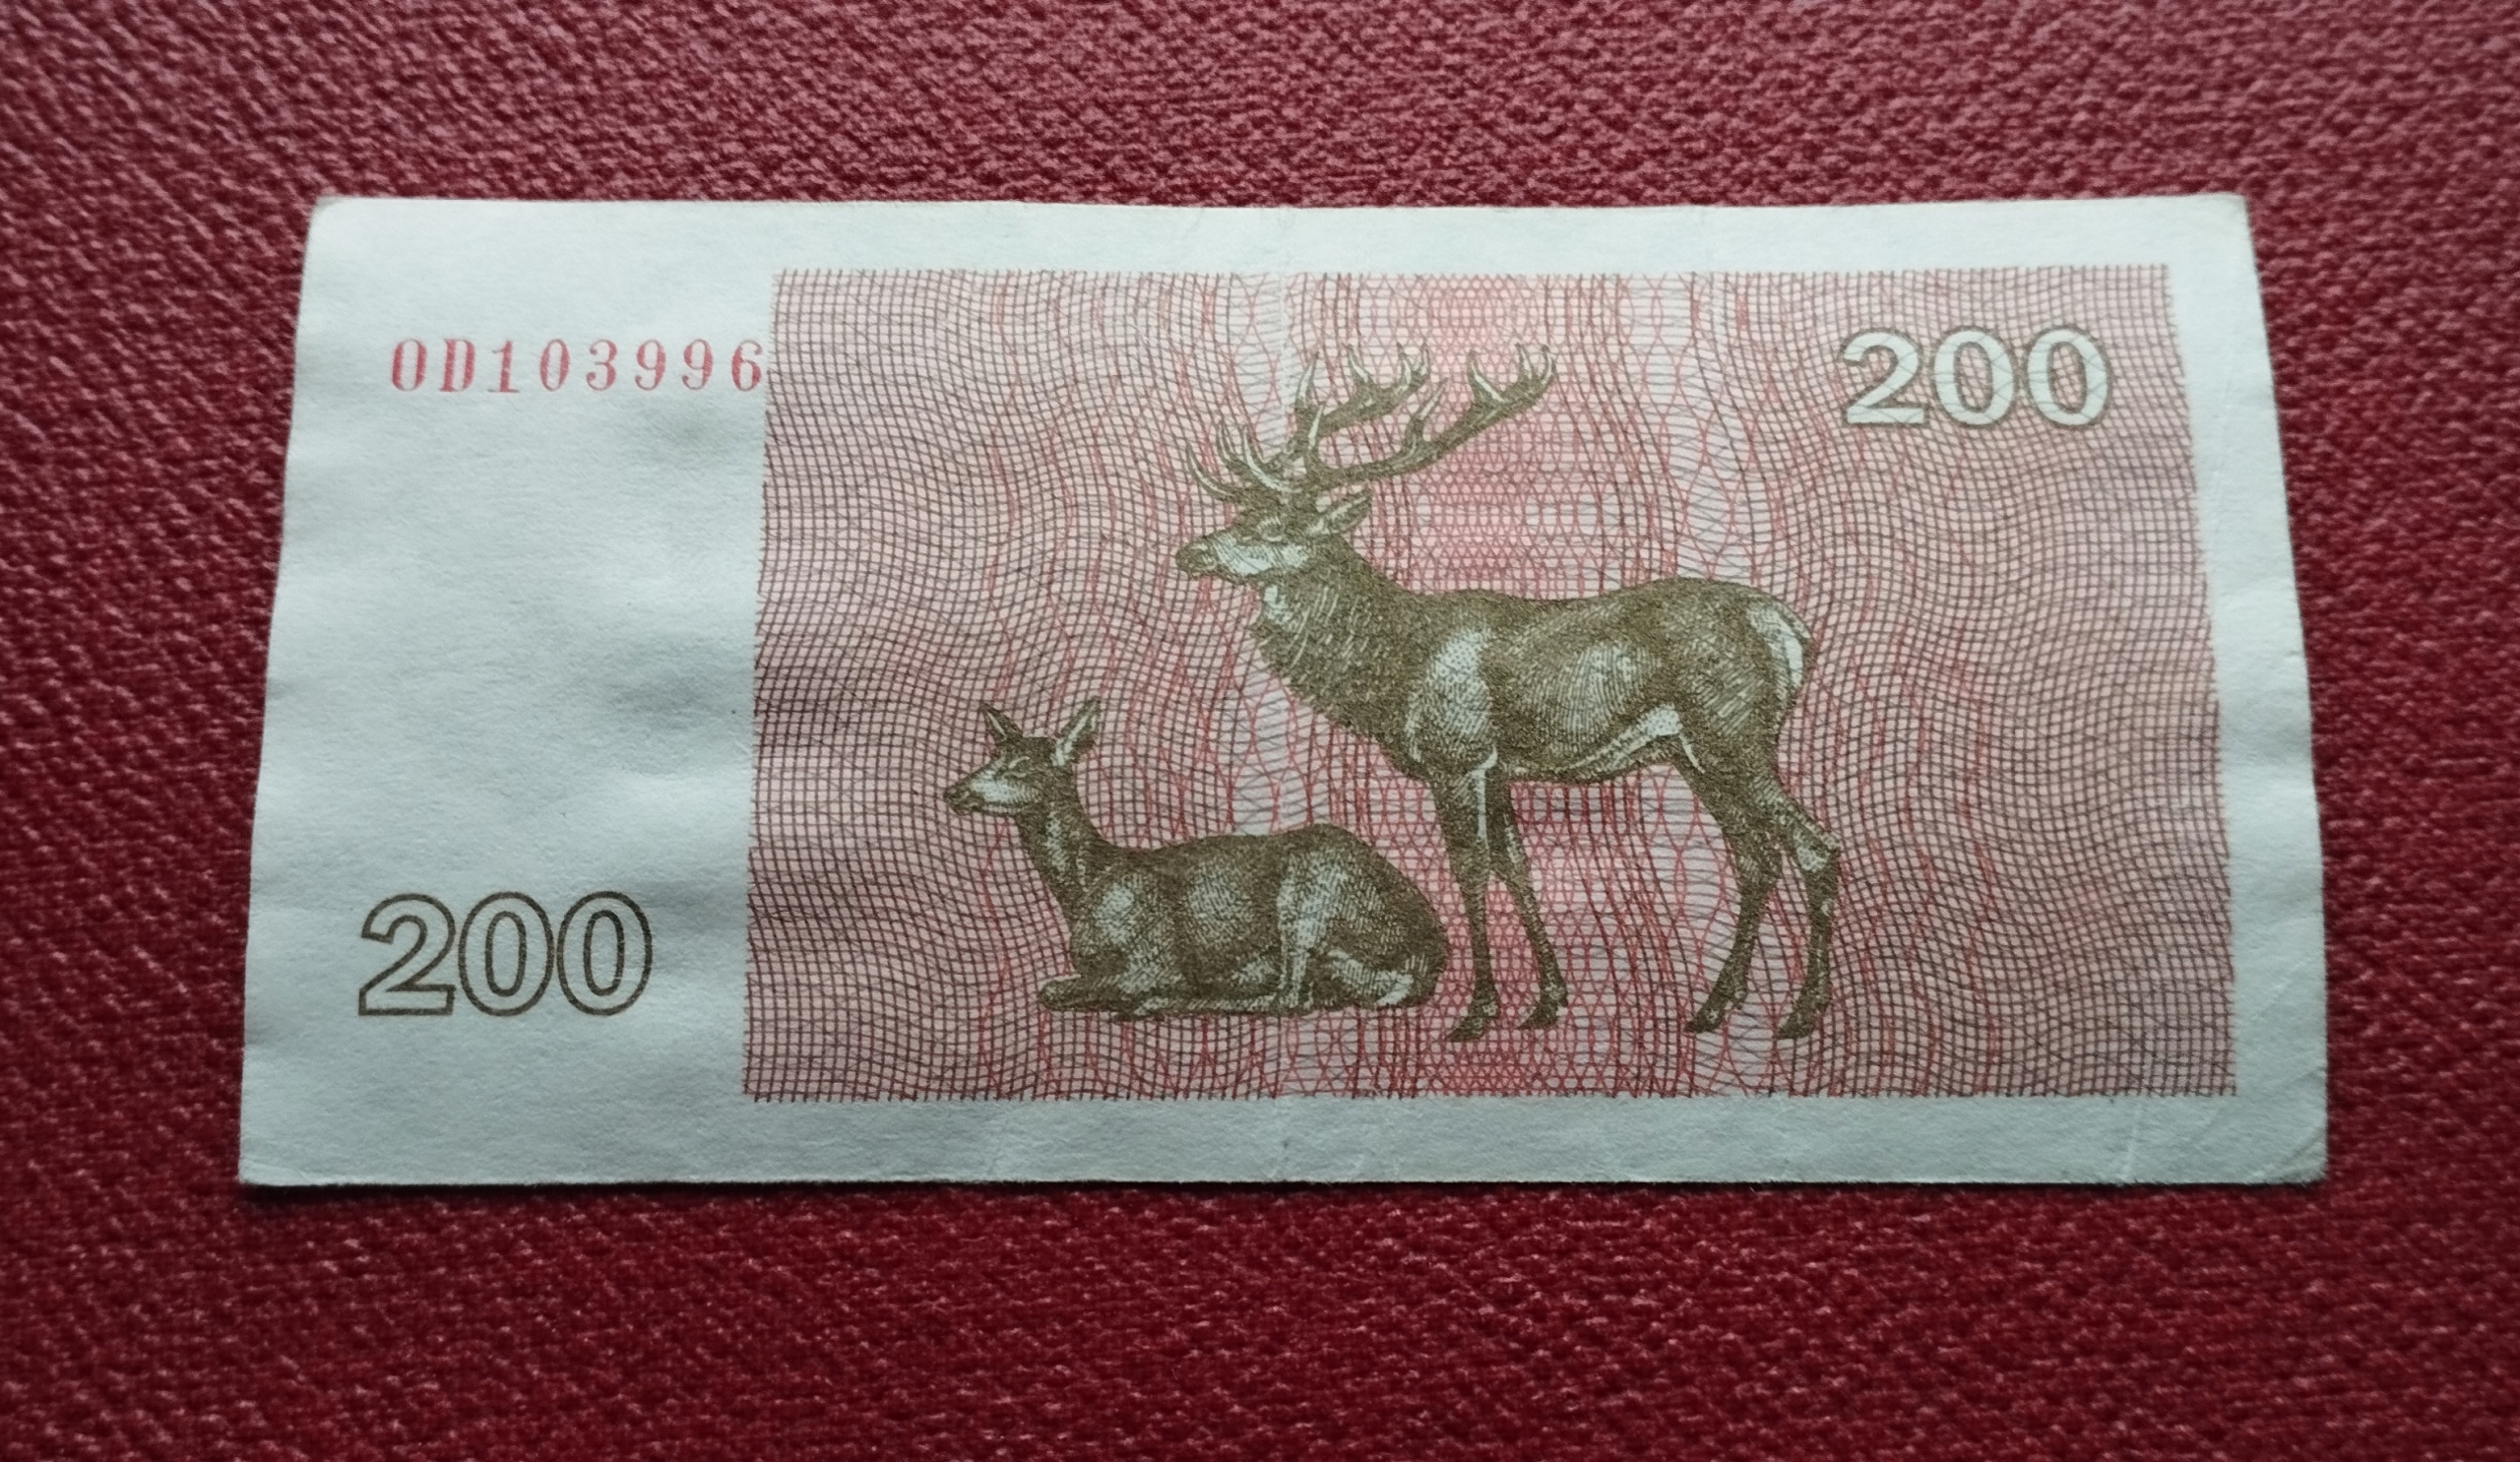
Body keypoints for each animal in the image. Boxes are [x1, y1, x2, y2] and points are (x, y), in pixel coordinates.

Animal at [943, 700, 1449, 1021]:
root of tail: (1427, 956)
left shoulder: (1155, 954)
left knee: (1288, 998)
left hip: (1310, 893)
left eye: (1021, 768)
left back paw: (1165, 1003)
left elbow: (1054, 988)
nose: (954, 792)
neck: (1088, 883)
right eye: (991, 757)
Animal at [1173, 349, 1840, 1042]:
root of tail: (1793, 634)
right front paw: (1547, 1002)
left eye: (1278, 526)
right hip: (1694, 754)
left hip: (1735, 733)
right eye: (1239, 514)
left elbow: (1469, 870)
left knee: (1814, 846)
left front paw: (1477, 1012)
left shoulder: (1456, 755)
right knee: (1755, 857)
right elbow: (1515, 866)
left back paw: (1801, 1012)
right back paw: (1713, 1007)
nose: (1191, 552)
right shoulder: (1496, 768)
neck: (1396, 668)